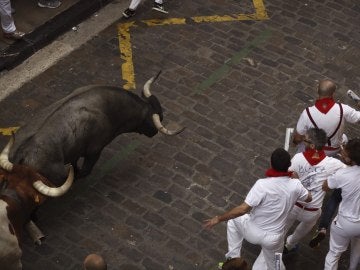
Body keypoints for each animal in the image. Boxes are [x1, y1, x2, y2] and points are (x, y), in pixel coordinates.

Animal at [8, 72, 184, 186]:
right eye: (153, 120)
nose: (154, 132)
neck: (107, 106)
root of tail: (21, 153)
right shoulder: (94, 151)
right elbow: (84, 171)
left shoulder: (75, 151)